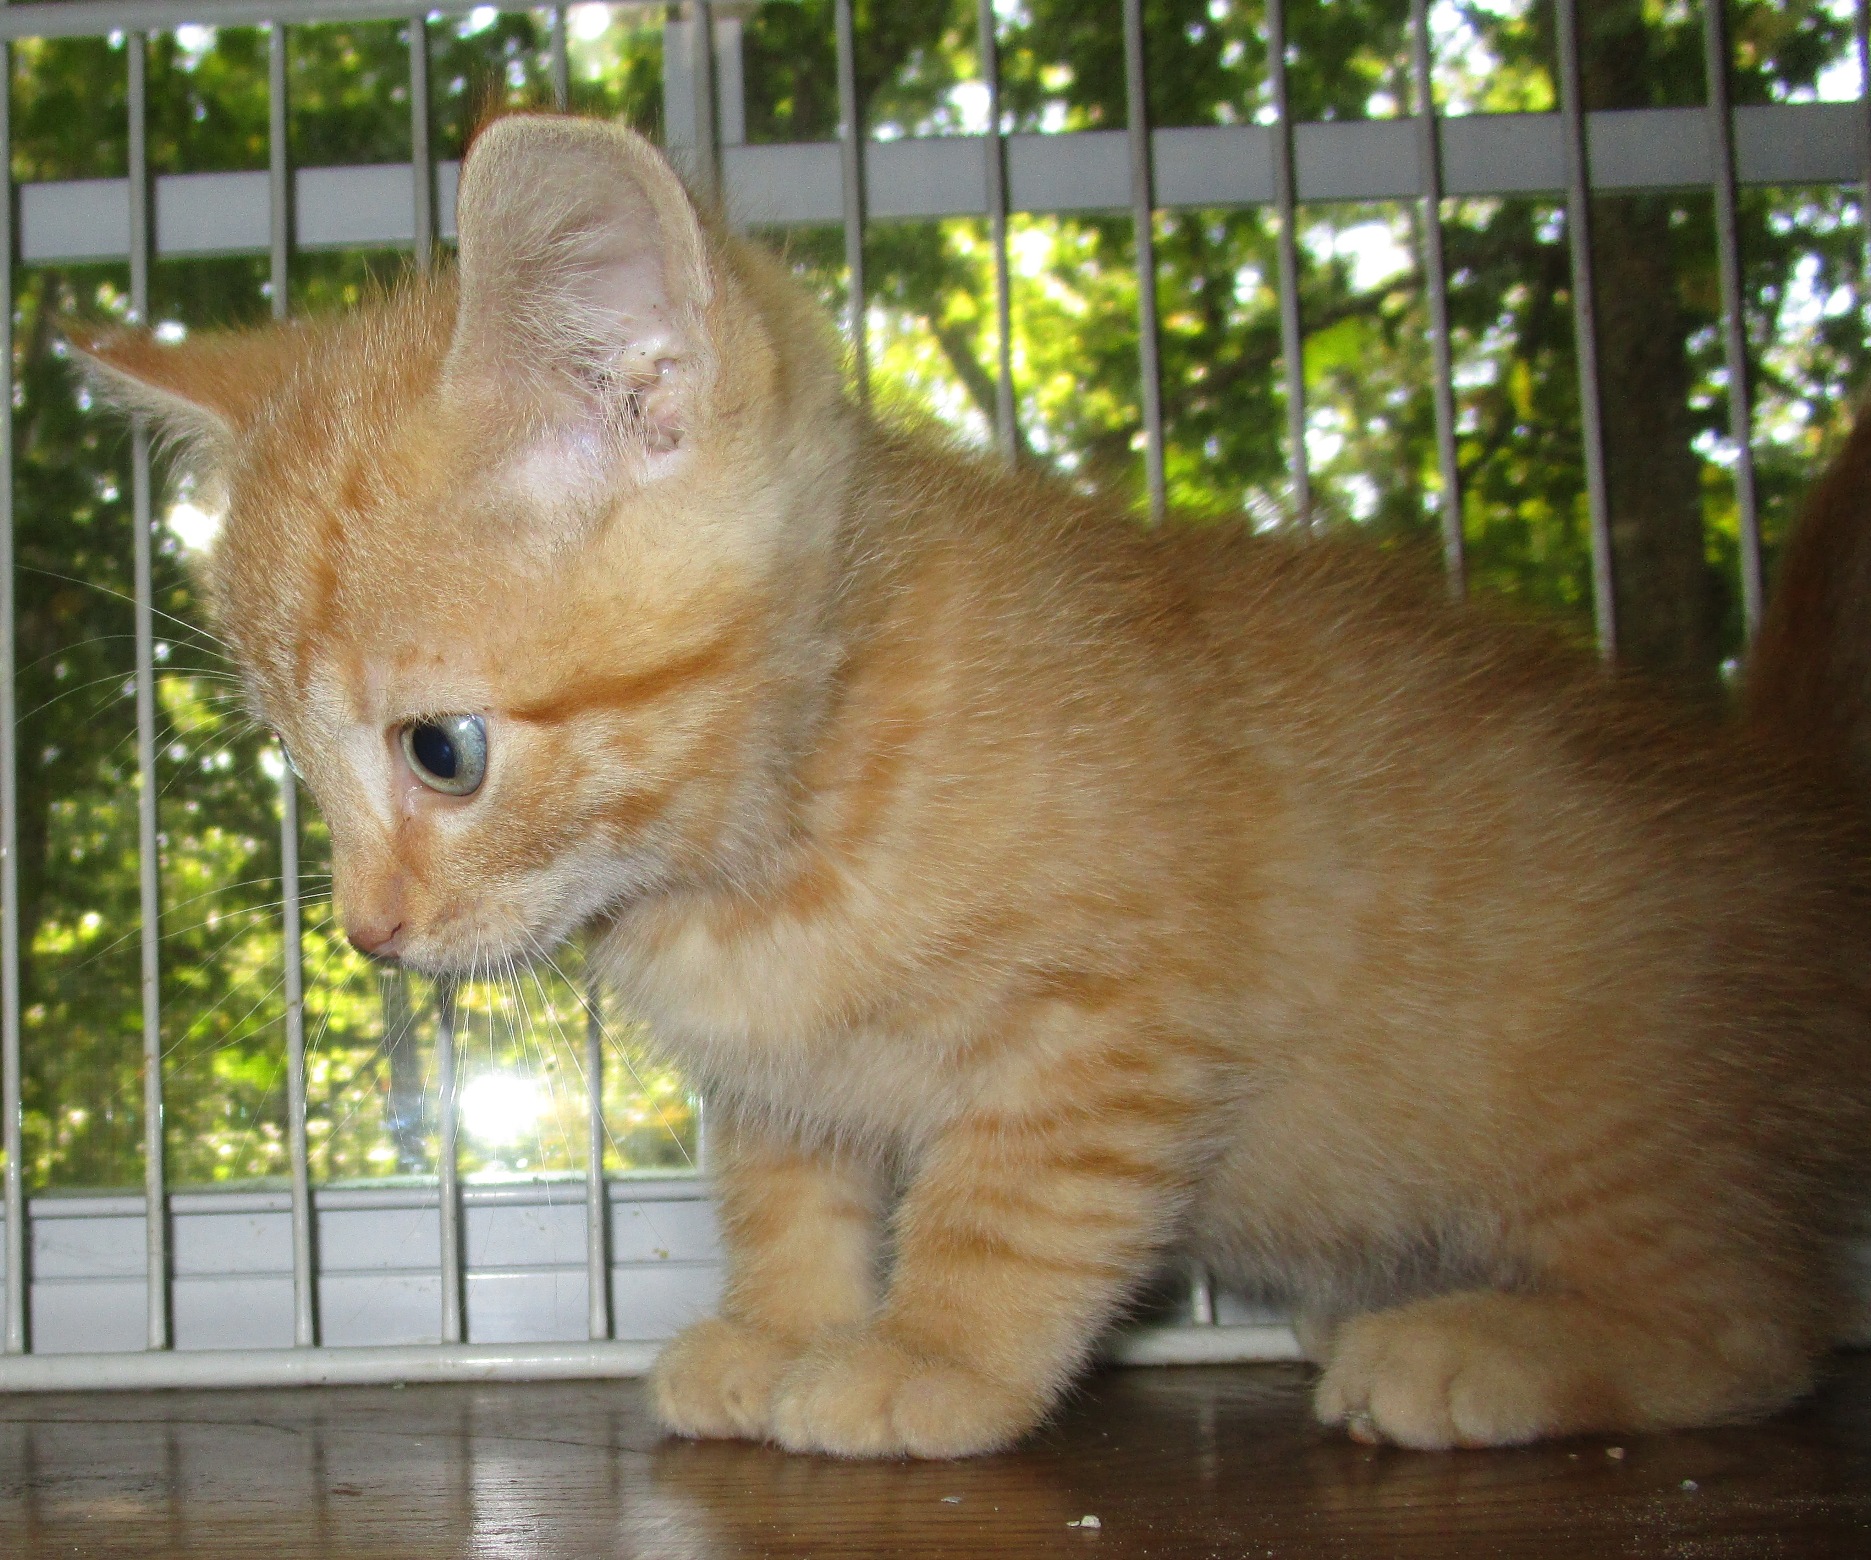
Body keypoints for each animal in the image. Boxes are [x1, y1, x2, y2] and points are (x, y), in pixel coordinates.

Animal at [76, 114, 1871, 1459]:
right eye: (300, 763)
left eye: (439, 753)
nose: (368, 936)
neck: (768, 846)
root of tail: (1787, 814)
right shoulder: (777, 1078)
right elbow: (786, 1189)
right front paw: (779, 1330)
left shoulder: (1117, 1020)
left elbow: (1008, 1207)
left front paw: (926, 1359)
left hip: (1582, 1085)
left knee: (1756, 1324)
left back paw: (1486, 1349)